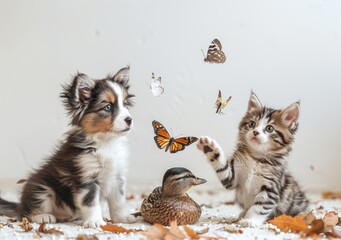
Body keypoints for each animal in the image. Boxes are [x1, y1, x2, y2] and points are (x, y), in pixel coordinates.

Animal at [0, 66, 135, 228]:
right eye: (108, 107)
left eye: (125, 104)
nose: (129, 119)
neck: (106, 142)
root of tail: (20, 203)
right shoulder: (85, 177)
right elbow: (91, 203)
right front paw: (95, 221)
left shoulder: (117, 176)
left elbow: (119, 201)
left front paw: (123, 218)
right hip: (42, 189)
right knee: (27, 212)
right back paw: (43, 216)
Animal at [197, 92, 308, 227]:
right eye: (252, 124)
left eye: (269, 128)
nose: (255, 132)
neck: (256, 158)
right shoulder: (232, 178)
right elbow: (223, 167)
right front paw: (210, 148)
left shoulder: (271, 188)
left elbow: (260, 206)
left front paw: (251, 220)